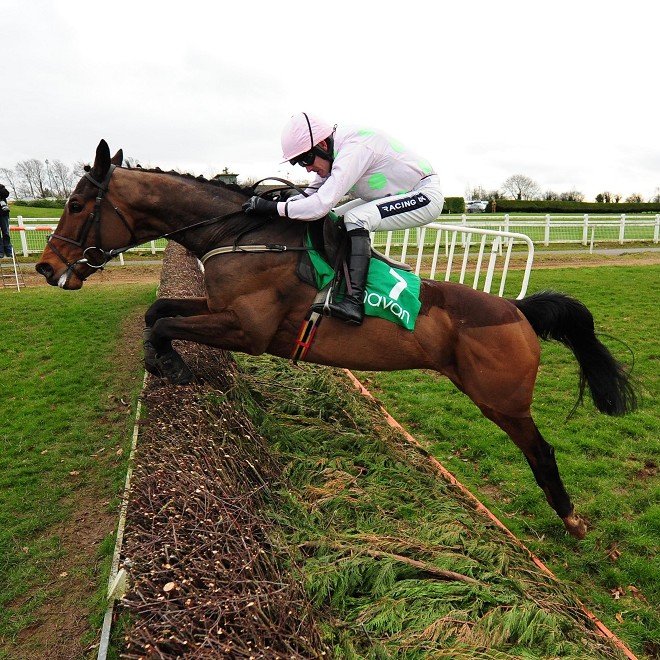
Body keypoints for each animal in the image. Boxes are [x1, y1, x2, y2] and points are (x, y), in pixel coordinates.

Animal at [36, 140, 638, 539]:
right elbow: (157, 310)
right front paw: (159, 356)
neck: (244, 236)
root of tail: (515, 309)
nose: (46, 267)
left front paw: (171, 364)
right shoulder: (219, 308)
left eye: (77, 205)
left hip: (502, 400)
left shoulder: (248, 330)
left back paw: (570, 518)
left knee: (541, 452)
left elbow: (162, 322)